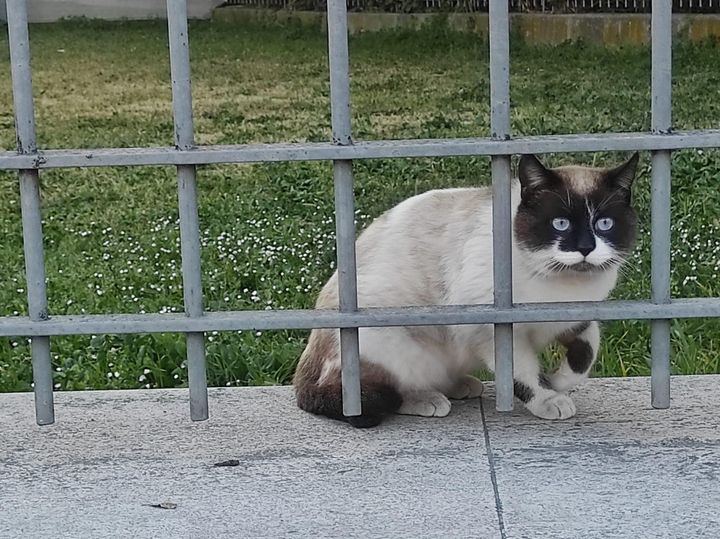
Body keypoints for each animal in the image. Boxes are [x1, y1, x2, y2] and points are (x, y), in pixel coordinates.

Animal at [296, 154, 640, 428]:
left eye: (605, 224)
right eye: (560, 224)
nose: (585, 248)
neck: (564, 287)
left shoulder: (576, 318)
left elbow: (586, 355)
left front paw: (558, 381)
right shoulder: (498, 331)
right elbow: (524, 374)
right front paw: (549, 399)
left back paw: (460, 386)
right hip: (395, 343)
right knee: (370, 394)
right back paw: (429, 399)